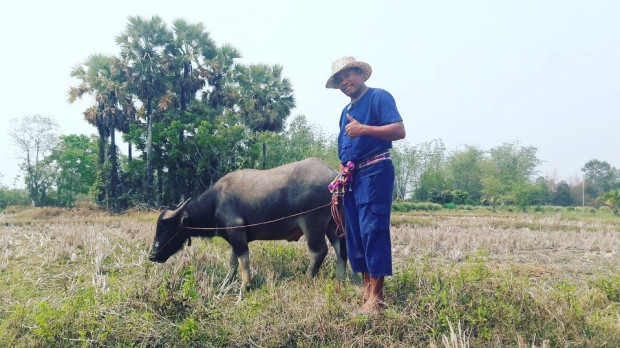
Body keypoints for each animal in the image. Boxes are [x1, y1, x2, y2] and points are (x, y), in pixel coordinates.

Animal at [148, 158, 346, 290]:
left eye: (164, 228)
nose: (152, 255)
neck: (216, 203)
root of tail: (334, 177)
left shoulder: (237, 232)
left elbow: (243, 259)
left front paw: (246, 285)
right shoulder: (234, 237)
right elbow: (233, 261)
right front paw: (227, 282)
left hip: (312, 224)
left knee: (319, 251)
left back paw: (307, 278)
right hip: (333, 225)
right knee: (341, 250)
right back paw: (340, 280)